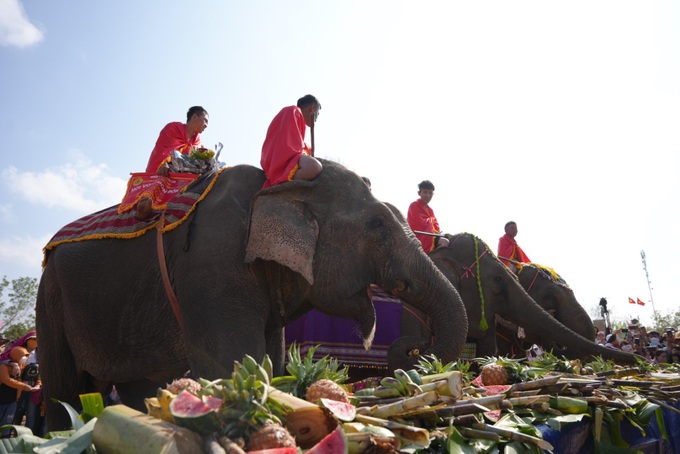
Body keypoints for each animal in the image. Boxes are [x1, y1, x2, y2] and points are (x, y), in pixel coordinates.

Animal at [35, 160, 468, 430]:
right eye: (378, 225)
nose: (413, 354)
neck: (278, 187)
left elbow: (270, 361)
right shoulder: (211, 264)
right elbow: (231, 363)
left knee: (135, 390)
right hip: (51, 297)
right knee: (64, 393)